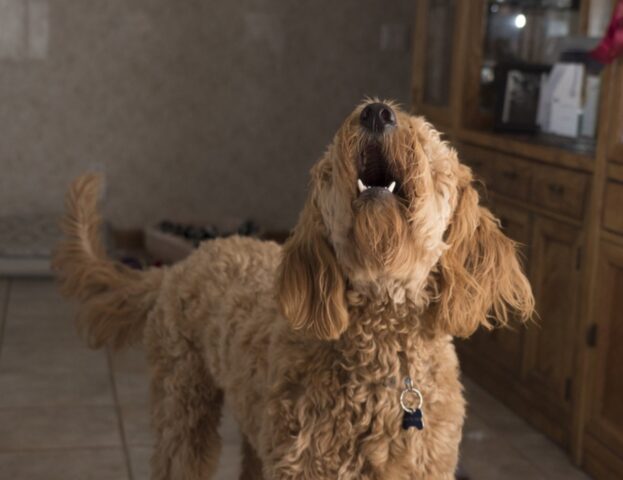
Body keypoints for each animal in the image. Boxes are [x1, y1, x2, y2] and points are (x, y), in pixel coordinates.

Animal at [53, 99, 532, 478]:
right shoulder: (302, 464)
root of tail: (181, 265)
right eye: (330, 168)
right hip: (183, 405)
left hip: (254, 425)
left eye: (428, 142)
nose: (377, 112)